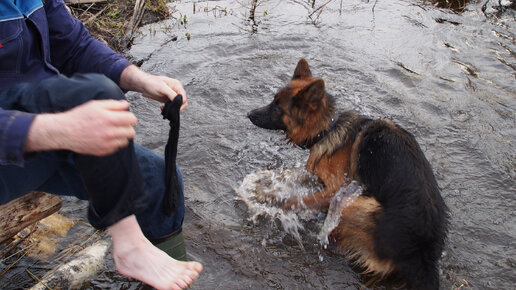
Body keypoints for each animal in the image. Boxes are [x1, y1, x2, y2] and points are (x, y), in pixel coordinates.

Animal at [246, 58, 448, 288]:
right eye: (273, 101)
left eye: (277, 107)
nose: (249, 114)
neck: (328, 128)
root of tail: (424, 255)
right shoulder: (316, 176)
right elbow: (287, 178)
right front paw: (265, 191)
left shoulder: (335, 190)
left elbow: (294, 201)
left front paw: (276, 208)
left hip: (358, 205)